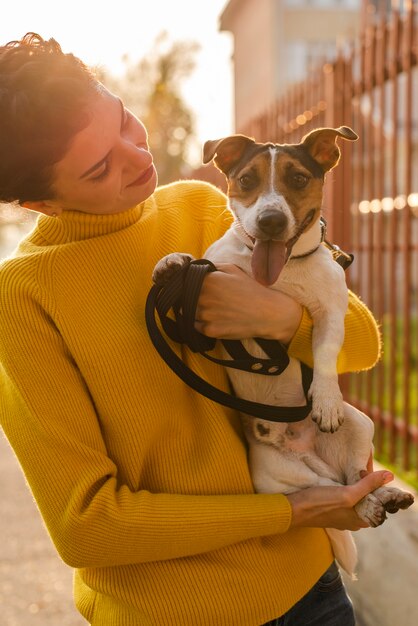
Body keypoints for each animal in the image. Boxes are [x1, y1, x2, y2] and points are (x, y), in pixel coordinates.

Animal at [152, 128, 414, 576]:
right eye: (246, 179)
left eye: (298, 178)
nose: (270, 221)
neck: (281, 272)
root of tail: (305, 450)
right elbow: (194, 265)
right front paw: (173, 262)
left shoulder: (331, 314)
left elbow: (324, 355)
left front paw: (325, 399)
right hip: (277, 475)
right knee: (332, 489)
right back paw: (369, 502)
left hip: (360, 425)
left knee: (353, 479)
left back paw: (382, 496)